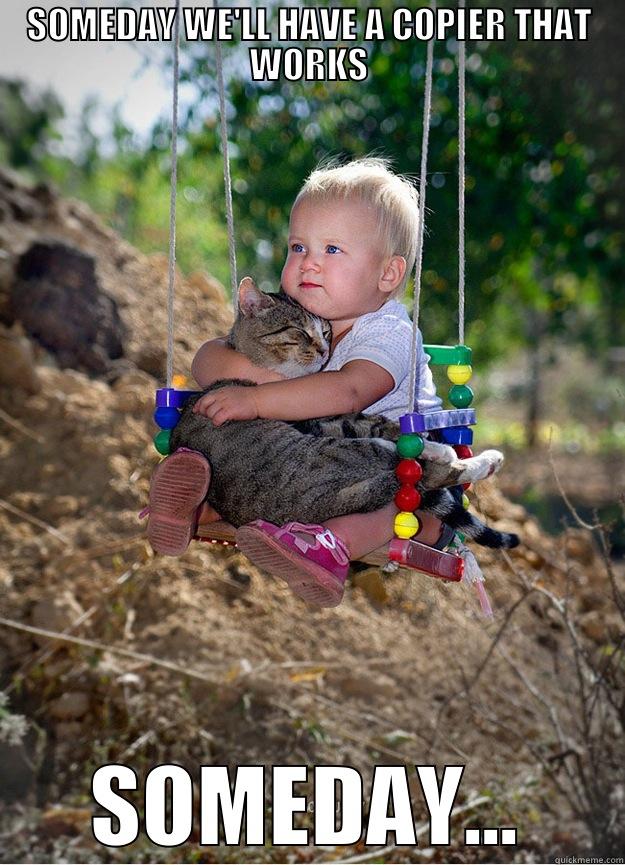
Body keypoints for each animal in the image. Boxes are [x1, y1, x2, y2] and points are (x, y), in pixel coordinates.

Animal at [171, 276, 516, 548]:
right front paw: (437, 447)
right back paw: (475, 458)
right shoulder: (321, 419)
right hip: (346, 453)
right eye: (299, 332)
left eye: (326, 333)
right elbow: (379, 423)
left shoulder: (324, 417)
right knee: (426, 471)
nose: (325, 350)